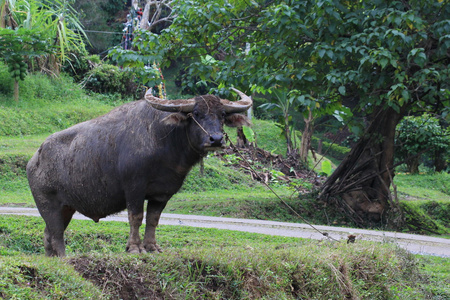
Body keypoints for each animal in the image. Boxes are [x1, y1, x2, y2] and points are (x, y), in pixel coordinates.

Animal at [27, 88, 253, 256]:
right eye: (196, 114)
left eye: (222, 115)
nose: (216, 139)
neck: (164, 142)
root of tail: (35, 159)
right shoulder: (134, 188)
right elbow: (135, 217)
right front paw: (134, 247)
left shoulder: (162, 193)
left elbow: (153, 219)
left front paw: (152, 247)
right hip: (48, 204)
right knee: (56, 234)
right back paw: (63, 258)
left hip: (66, 208)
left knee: (48, 234)